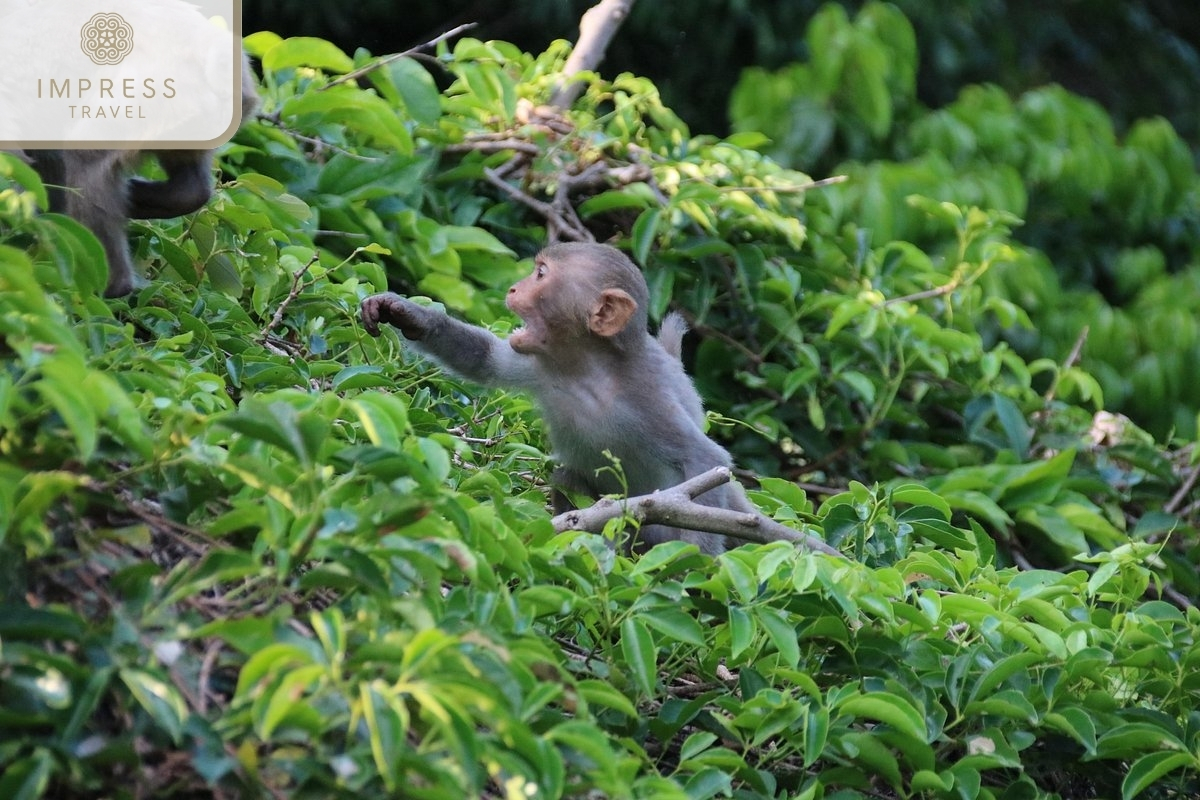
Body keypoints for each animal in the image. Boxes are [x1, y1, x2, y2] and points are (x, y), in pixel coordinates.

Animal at [360, 242, 753, 556]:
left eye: (540, 275)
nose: (514, 287)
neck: (588, 373)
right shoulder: (544, 366)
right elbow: (486, 361)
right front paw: (409, 315)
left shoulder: (648, 394)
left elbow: (705, 458)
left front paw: (696, 567)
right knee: (568, 476)